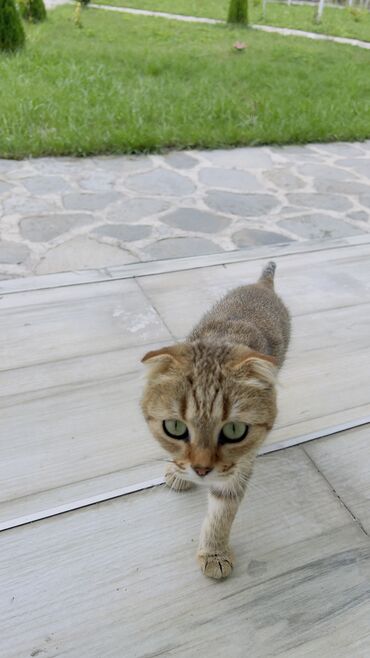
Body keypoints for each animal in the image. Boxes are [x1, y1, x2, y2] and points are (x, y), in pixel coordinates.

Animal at [140, 262, 290, 580]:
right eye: (175, 428)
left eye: (234, 430)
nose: (201, 470)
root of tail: (262, 284)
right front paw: (177, 471)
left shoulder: (238, 467)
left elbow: (222, 511)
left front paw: (214, 552)